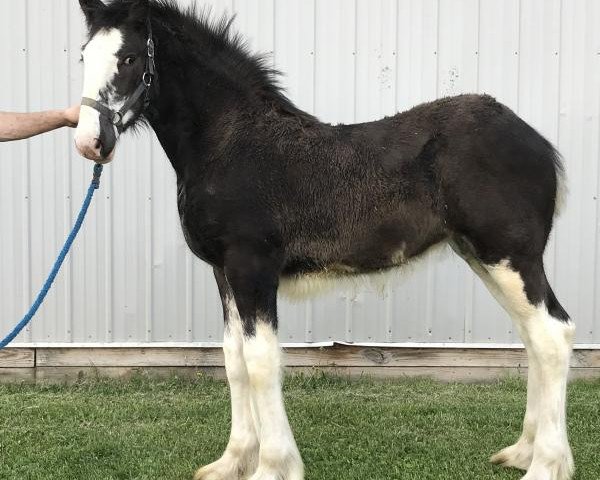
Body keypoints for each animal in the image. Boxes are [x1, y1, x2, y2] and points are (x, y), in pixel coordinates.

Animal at [76, 0, 576, 480]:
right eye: (83, 56)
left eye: (128, 57)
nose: (90, 142)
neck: (231, 144)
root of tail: (537, 142)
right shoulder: (224, 272)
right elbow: (234, 360)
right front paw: (232, 462)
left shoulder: (252, 268)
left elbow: (261, 362)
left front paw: (272, 467)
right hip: (483, 256)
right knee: (533, 336)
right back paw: (523, 453)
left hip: (510, 256)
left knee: (553, 334)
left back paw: (545, 466)